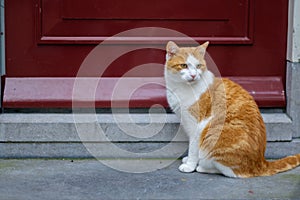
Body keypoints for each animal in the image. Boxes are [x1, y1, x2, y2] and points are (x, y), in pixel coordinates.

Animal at [164, 41, 300, 178]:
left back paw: (202, 167)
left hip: (214, 138)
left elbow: (193, 149)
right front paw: (189, 160)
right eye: (184, 65)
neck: (182, 88)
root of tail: (261, 163)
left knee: (231, 172)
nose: (193, 75)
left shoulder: (196, 127)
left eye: (198, 66)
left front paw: (190, 165)